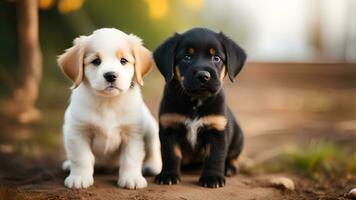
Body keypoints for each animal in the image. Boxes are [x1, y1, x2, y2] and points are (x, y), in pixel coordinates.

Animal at [57, 27, 163, 189]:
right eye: (96, 61)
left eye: (123, 61)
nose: (111, 75)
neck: (108, 103)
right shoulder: (78, 132)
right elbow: (81, 158)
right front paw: (79, 178)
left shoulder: (133, 133)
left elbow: (131, 158)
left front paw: (131, 178)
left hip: (151, 128)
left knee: (154, 147)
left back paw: (152, 166)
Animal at [153, 27, 248, 188]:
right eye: (187, 57)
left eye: (216, 58)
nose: (203, 76)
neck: (195, 103)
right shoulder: (169, 127)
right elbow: (171, 154)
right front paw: (168, 175)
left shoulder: (217, 128)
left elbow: (215, 156)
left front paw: (213, 178)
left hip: (238, 138)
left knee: (233, 157)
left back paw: (229, 168)